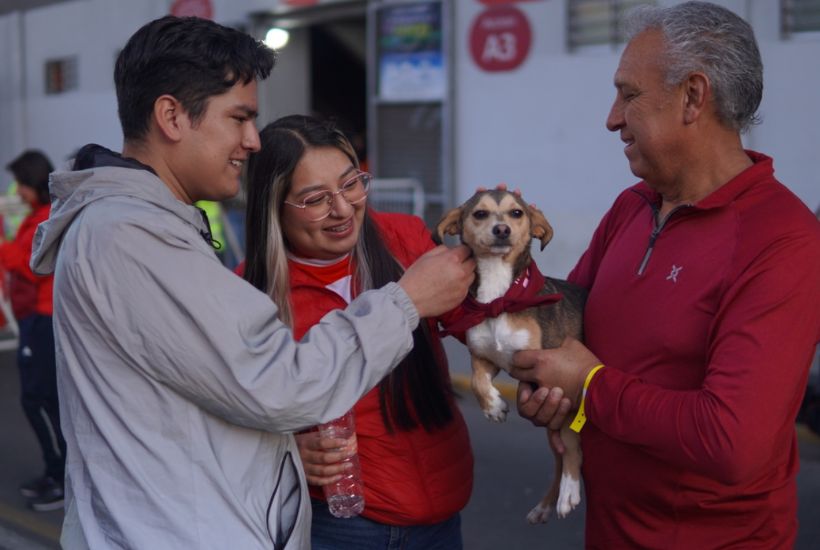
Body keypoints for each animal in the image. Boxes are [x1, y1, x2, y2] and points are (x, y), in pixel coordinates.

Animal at [436, 190, 588, 528]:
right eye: (479, 214)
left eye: (516, 212)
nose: (502, 230)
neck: (500, 298)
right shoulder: (486, 357)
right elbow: (478, 382)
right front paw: (494, 407)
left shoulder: (558, 377)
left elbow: (572, 442)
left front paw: (571, 492)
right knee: (556, 457)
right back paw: (544, 506)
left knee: (564, 450)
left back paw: (562, 494)